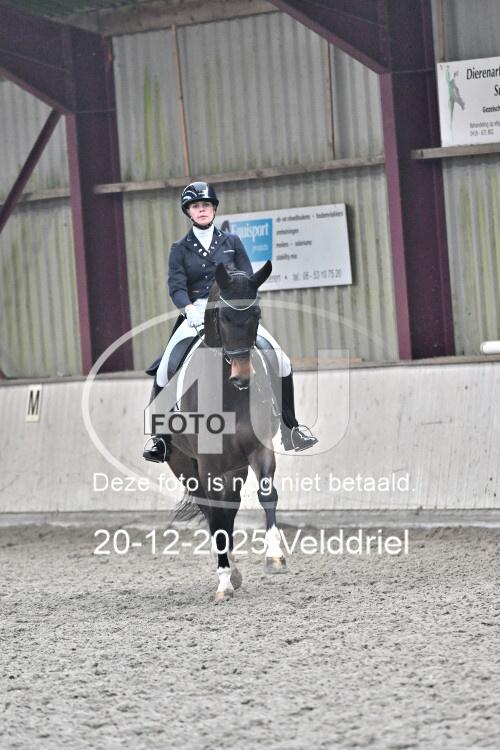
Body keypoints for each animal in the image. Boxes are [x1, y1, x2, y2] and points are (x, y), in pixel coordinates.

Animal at [151, 260, 288, 603]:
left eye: (256, 314)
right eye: (224, 317)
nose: (242, 377)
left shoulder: (259, 449)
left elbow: (267, 494)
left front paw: (274, 555)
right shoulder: (207, 463)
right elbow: (216, 517)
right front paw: (223, 582)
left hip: (234, 468)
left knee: (229, 508)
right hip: (186, 467)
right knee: (214, 513)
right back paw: (228, 574)